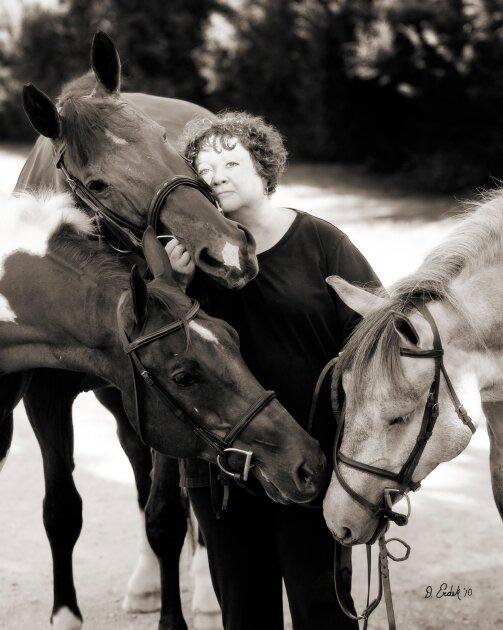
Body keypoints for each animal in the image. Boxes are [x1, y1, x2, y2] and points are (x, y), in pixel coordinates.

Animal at [0, 193, 324, 630]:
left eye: (233, 337)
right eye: (184, 376)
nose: (307, 463)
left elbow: (167, 519)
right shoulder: (42, 403)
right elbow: (62, 511)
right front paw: (66, 615)